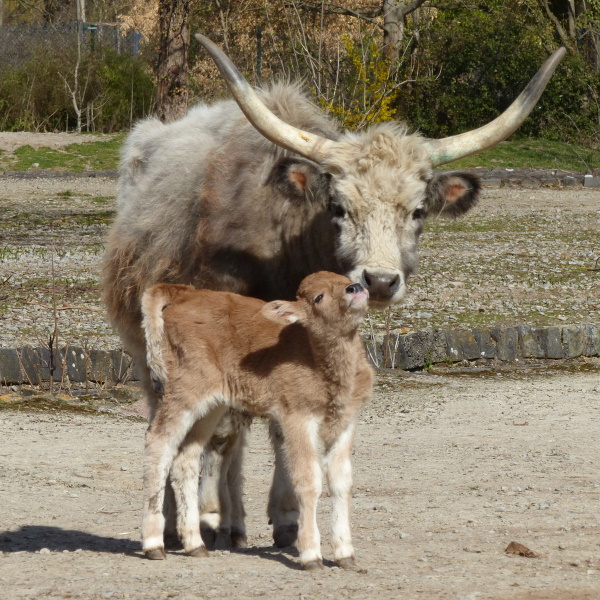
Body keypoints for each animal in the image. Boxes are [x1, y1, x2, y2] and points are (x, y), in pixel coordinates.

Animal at [142, 272, 372, 568]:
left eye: (344, 278)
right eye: (318, 297)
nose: (354, 288)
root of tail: (186, 294)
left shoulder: (345, 422)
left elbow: (341, 481)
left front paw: (345, 554)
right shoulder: (297, 419)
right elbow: (309, 479)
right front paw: (311, 555)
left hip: (211, 406)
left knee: (186, 457)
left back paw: (195, 545)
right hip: (184, 393)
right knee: (159, 443)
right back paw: (153, 545)